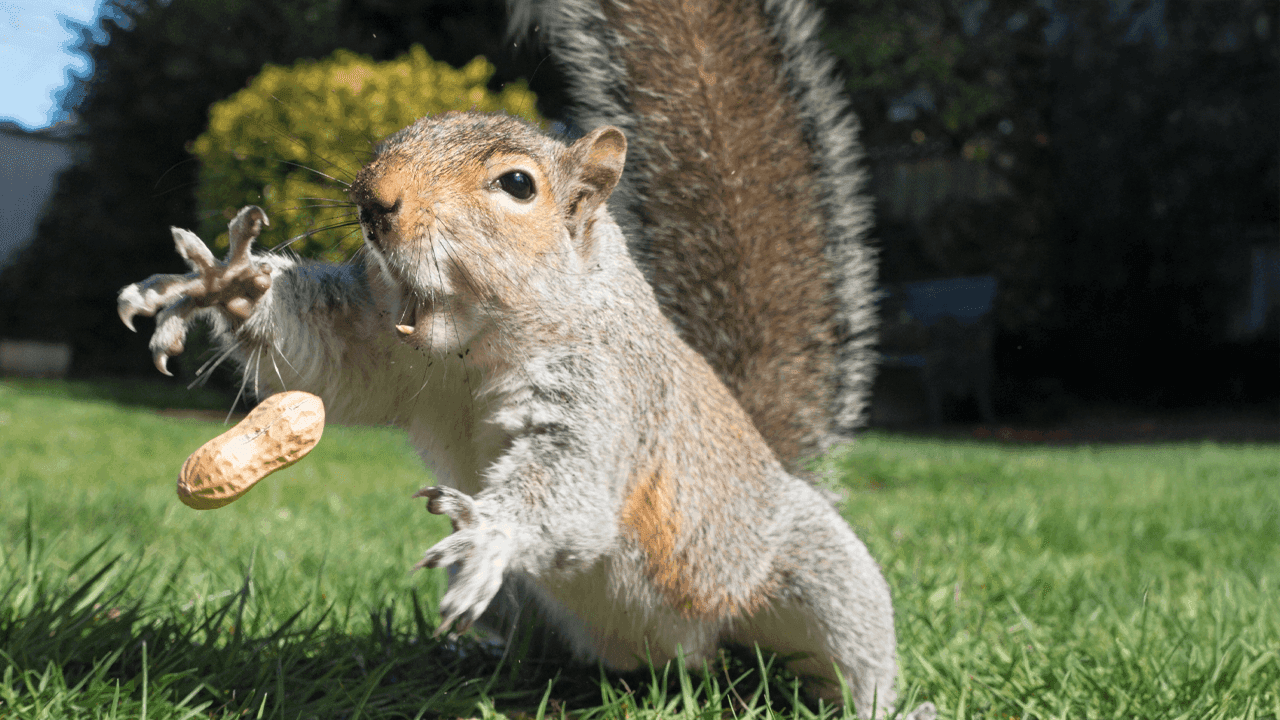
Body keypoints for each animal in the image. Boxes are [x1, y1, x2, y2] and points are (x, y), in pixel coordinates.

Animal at [116, 0, 936, 717]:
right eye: (393, 138)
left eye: (517, 185)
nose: (375, 201)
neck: (472, 345)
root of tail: (676, 663)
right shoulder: (378, 346)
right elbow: (318, 361)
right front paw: (224, 285)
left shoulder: (608, 394)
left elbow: (573, 485)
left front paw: (494, 530)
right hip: (528, 605)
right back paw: (474, 660)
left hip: (813, 582)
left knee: (852, 660)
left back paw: (891, 706)